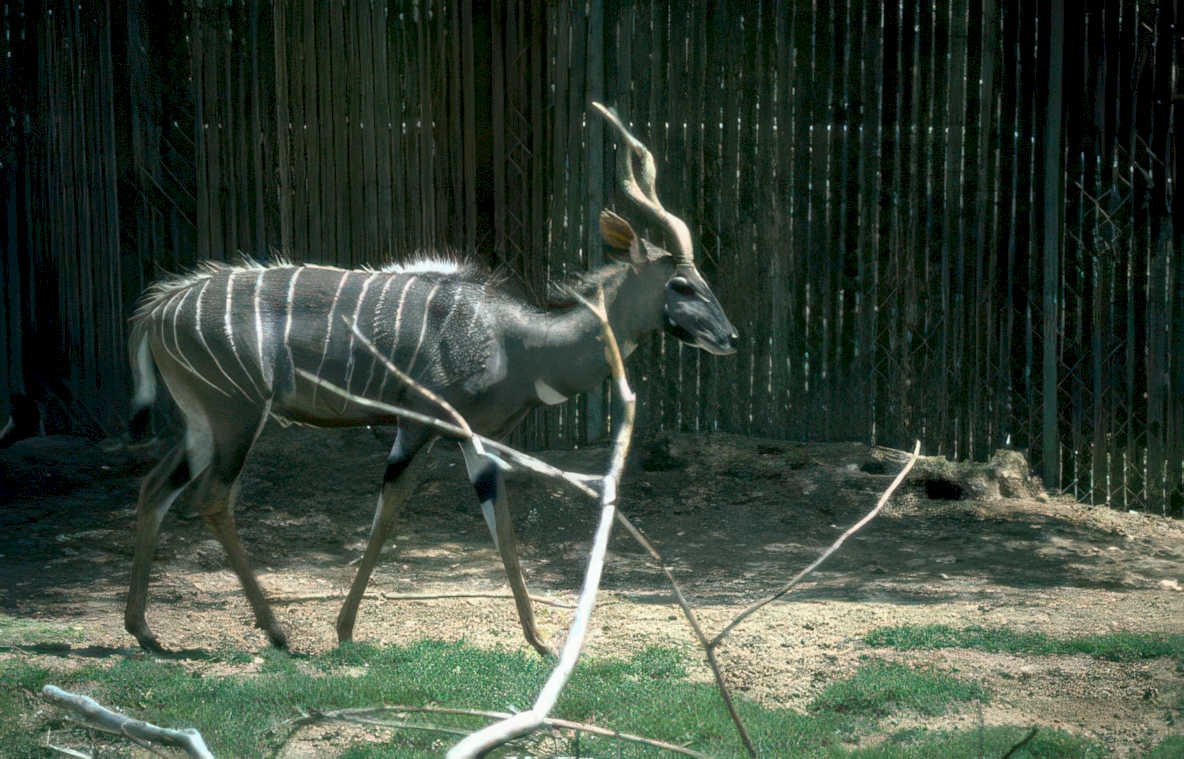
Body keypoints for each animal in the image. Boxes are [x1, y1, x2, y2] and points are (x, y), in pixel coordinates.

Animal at [124, 104, 739, 656]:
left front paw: (541, 644)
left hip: (203, 422)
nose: (730, 336)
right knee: (211, 499)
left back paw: (145, 631)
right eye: (681, 284)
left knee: (154, 487)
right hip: (237, 415)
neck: (514, 340)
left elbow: (503, 528)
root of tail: (155, 312)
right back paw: (276, 634)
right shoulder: (418, 425)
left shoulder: (475, 439)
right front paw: (344, 630)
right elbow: (387, 515)